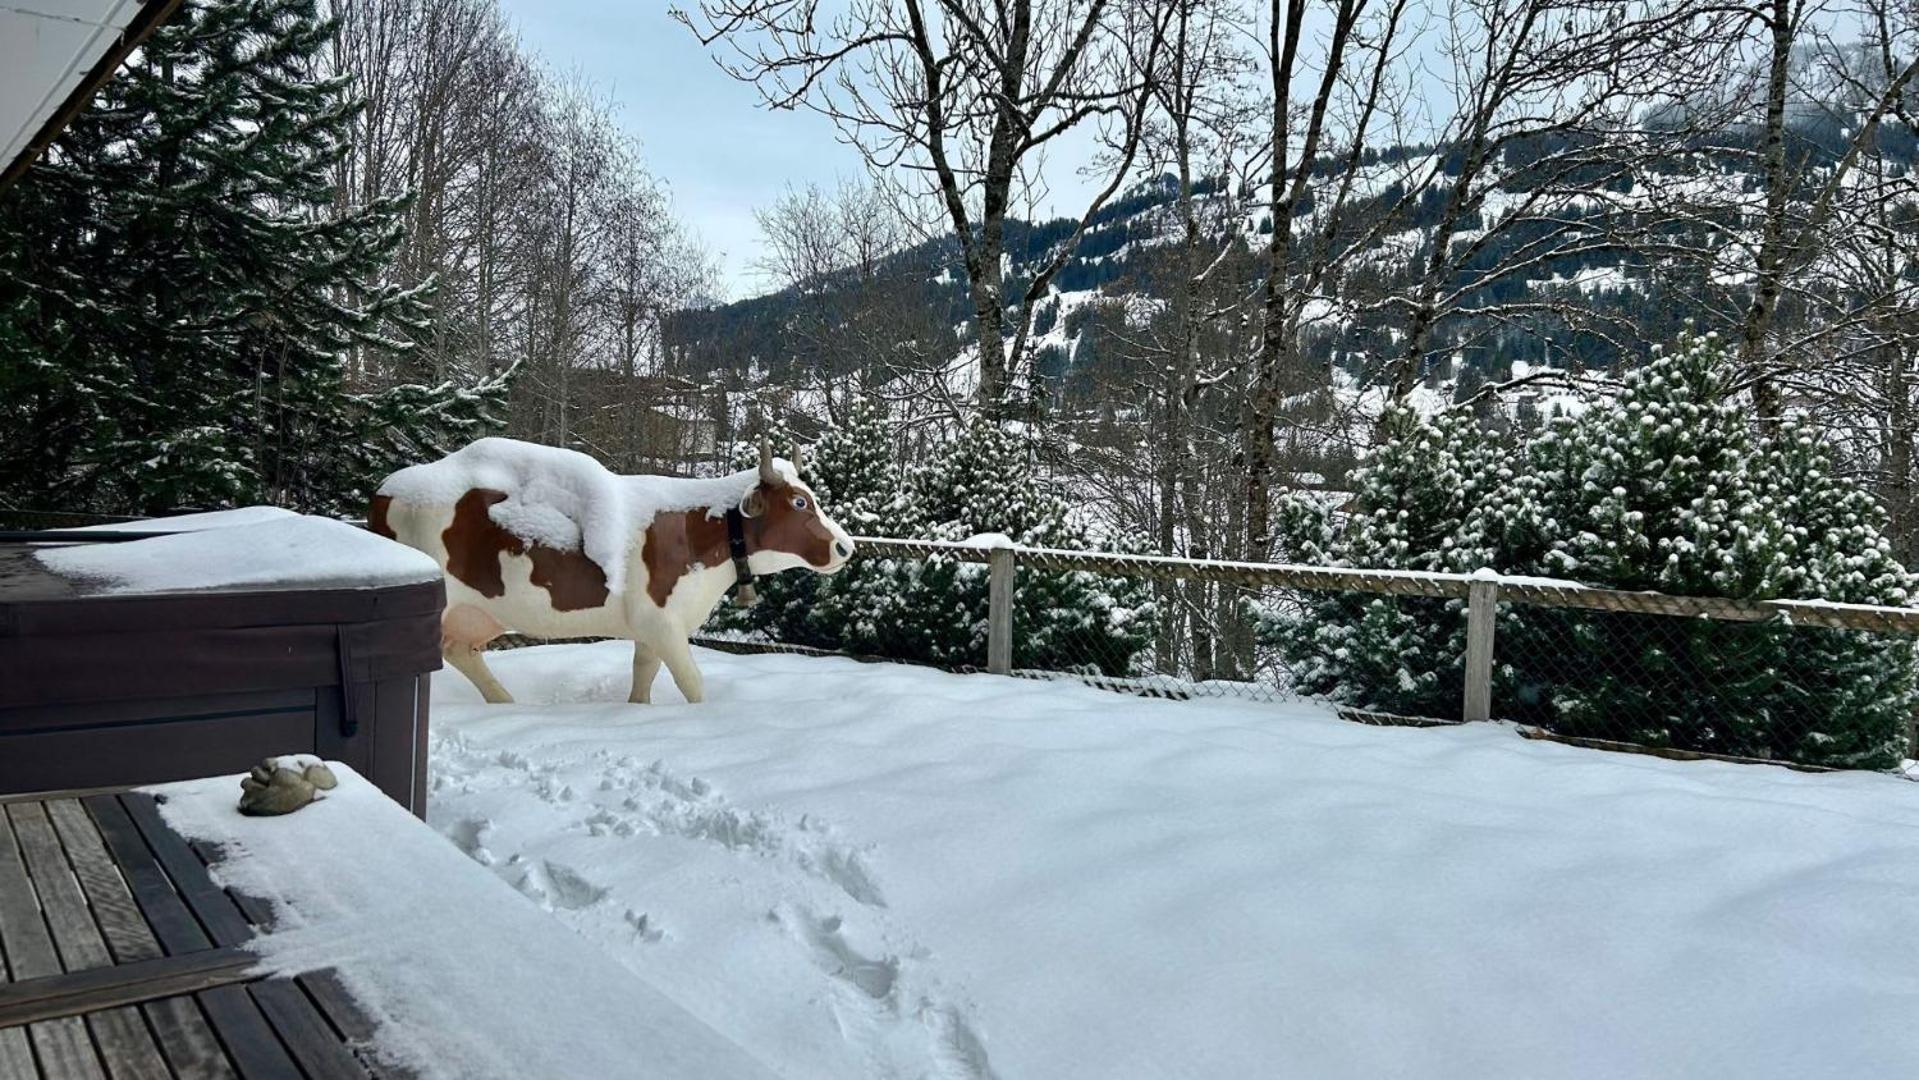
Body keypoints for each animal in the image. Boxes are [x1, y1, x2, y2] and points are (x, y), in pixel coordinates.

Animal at [370, 441, 852, 709]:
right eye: (799, 502)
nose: (845, 546)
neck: (699, 532)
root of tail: (389, 487)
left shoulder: (651, 626)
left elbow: (643, 674)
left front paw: (636, 711)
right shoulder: (662, 621)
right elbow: (691, 682)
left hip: (478, 610)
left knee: (459, 651)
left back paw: (505, 704)